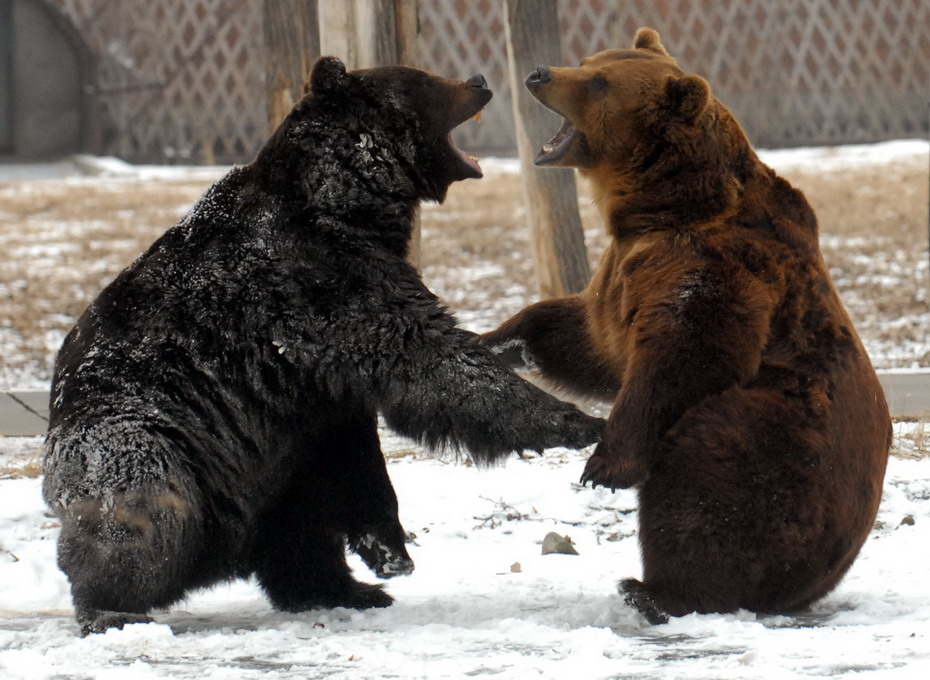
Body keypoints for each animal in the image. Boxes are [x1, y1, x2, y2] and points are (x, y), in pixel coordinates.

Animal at [482, 29, 888, 624]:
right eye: (587, 60)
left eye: (598, 82)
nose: (539, 73)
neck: (664, 207)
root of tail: (814, 584)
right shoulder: (628, 265)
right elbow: (592, 339)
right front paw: (495, 342)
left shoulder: (716, 268)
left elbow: (679, 356)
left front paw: (602, 465)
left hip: (782, 438)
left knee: (703, 478)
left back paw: (658, 589)